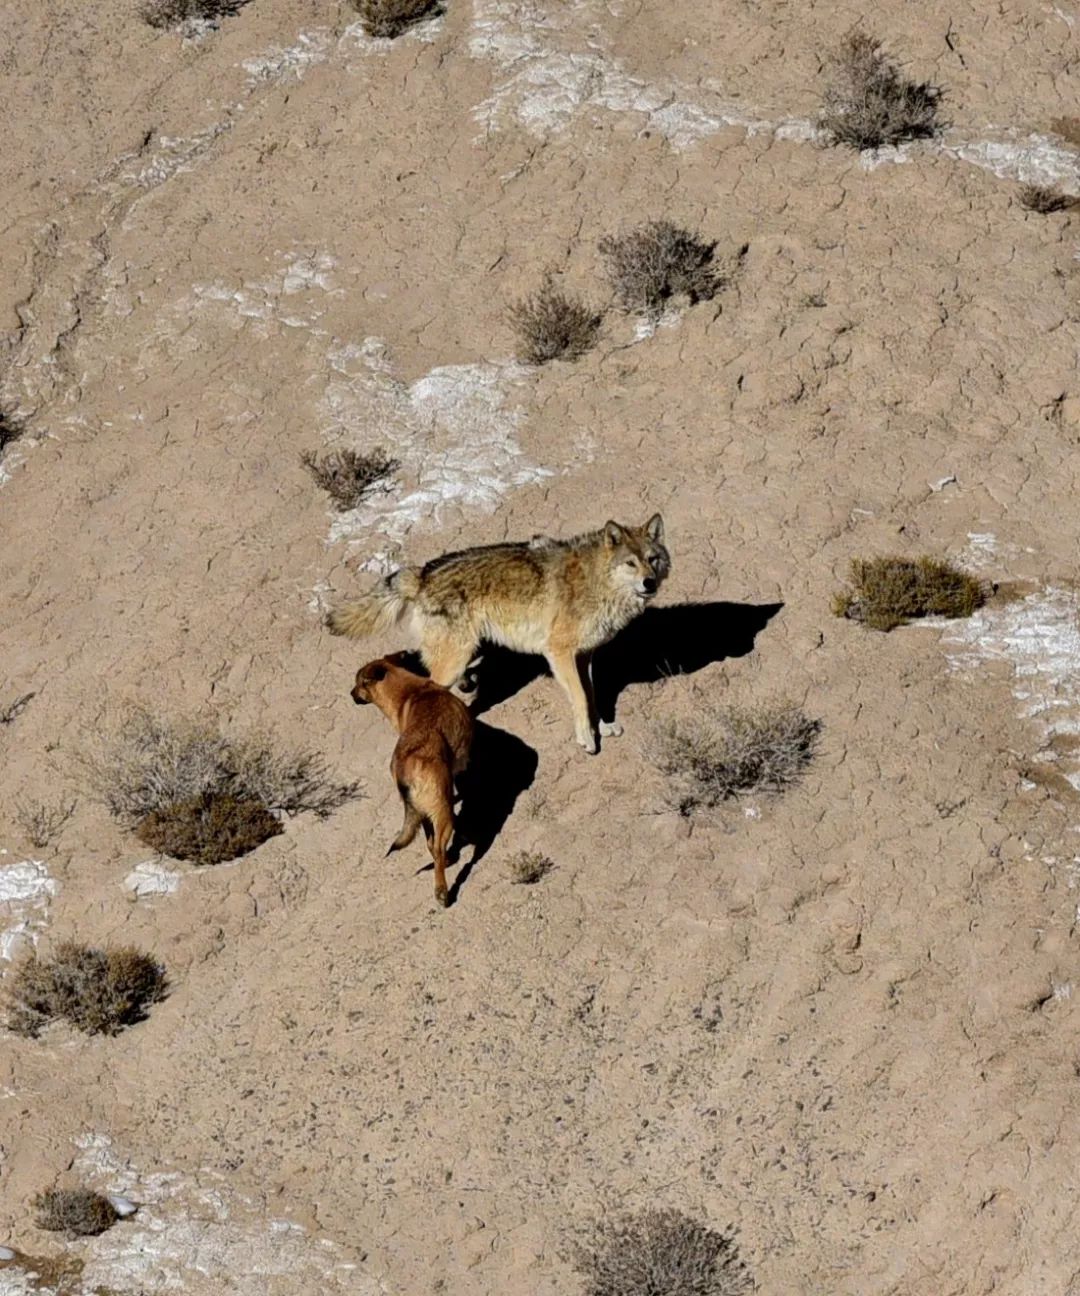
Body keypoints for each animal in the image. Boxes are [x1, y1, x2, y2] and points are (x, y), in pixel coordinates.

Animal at [329, 513, 669, 756]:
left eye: (652, 559)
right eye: (631, 563)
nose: (649, 583)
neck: (597, 580)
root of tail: (423, 573)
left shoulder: (584, 656)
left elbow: (592, 696)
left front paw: (604, 728)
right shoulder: (558, 653)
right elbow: (581, 699)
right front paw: (587, 739)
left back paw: (467, 683)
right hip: (454, 659)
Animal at [352, 653, 474, 907]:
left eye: (358, 684)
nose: (351, 694)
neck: (413, 690)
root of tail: (404, 769)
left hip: (423, 812)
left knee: (432, 845)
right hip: (440, 810)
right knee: (438, 846)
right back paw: (442, 890)